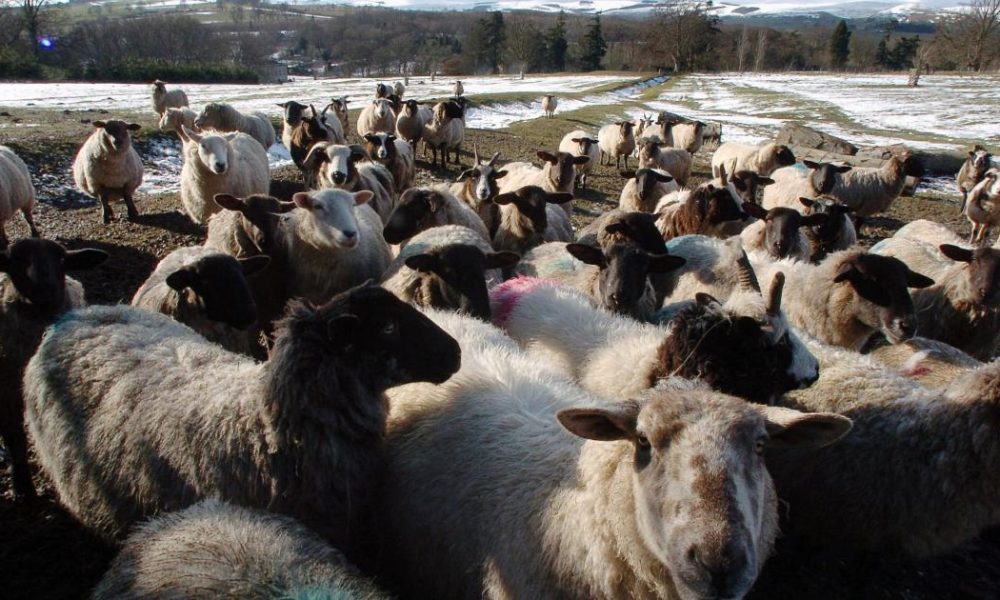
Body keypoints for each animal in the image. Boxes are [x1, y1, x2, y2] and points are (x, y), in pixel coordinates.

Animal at [0, 239, 106, 501]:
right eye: (16, 261)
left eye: (62, 260)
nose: (46, 292)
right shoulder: (6, 391)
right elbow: (15, 437)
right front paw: (23, 487)